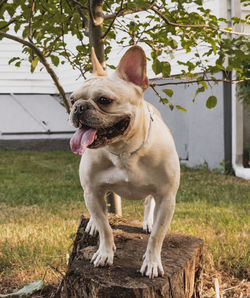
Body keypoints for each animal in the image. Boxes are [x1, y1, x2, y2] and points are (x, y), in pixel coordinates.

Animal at [70, 45, 180, 278]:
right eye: (73, 99)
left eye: (104, 100)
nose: (79, 107)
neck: (124, 151)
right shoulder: (91, 191)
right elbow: (105, 227)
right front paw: (104, 252)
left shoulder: (167, 198)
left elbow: (157, 236)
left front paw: (152, 262)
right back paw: (92, 223)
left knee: (148, 203)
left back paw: (147, 221)